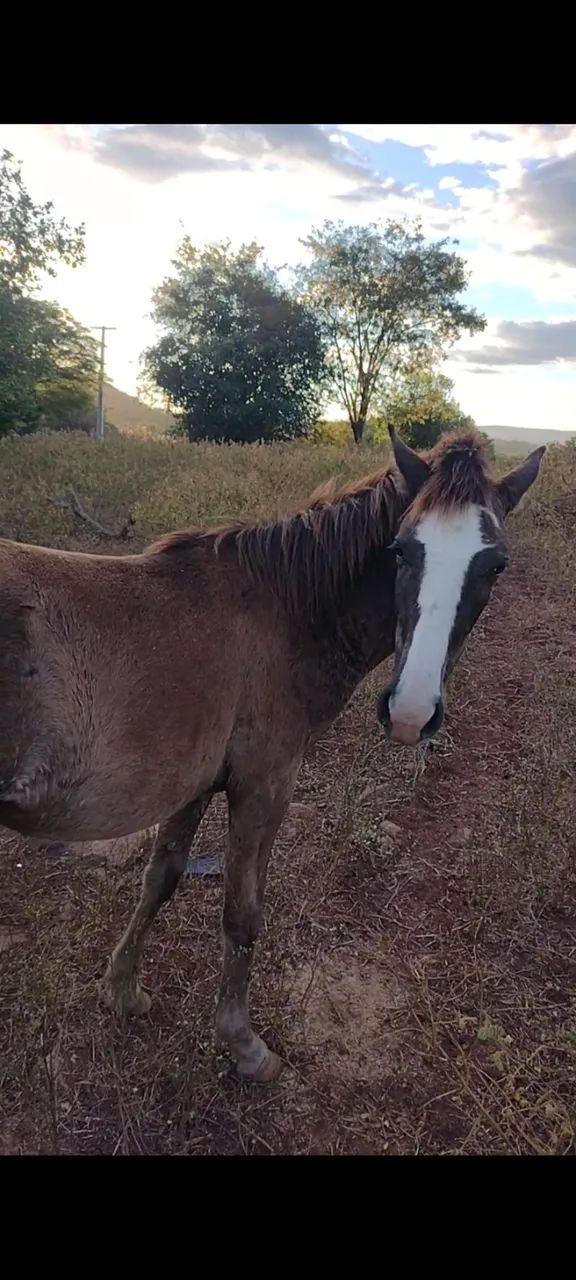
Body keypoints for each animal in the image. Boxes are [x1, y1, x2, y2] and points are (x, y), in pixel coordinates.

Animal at [0, 429, 544, 1082]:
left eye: (495, 564)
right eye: (401, 550)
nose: (411, 712)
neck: (284, 614)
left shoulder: (194, 784)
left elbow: (162, 878)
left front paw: (123, 990)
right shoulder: (263, 786)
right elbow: (242, 913)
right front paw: (243, 1044)